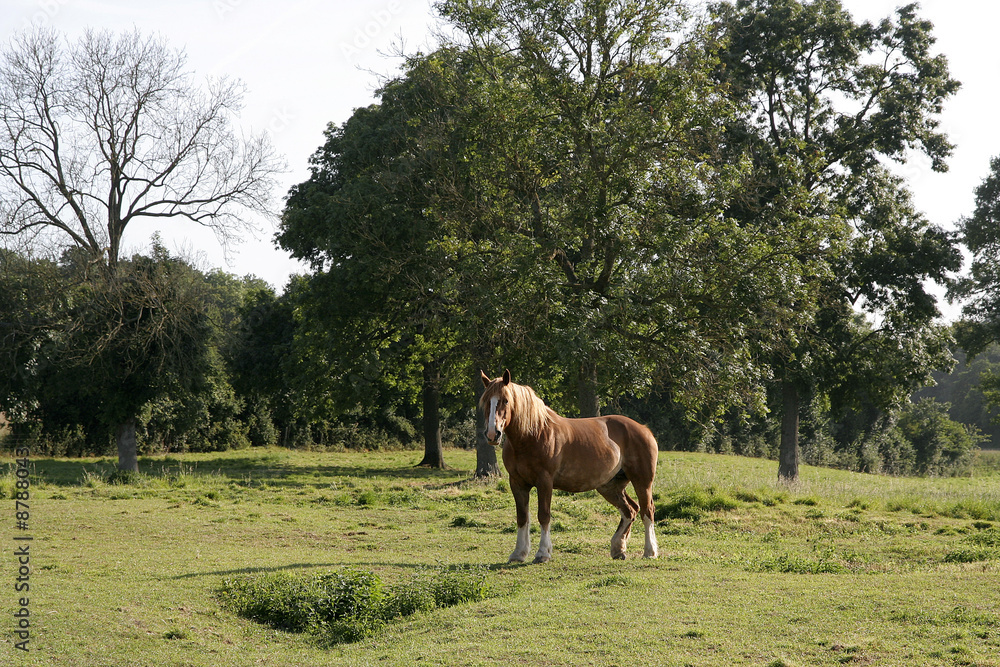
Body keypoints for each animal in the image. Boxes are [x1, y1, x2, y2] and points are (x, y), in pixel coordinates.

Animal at [479, 369, 659, 563]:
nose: (493, 434)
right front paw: (518, 553)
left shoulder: (544, 481)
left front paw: (542, 553)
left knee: (647, 511)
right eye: (486, 400)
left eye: (505, 400)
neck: (533, 434)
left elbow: (544, 515)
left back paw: (650, 551)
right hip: (610, 486)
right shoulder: (517, 483)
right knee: (630, 510)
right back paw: (618, 549)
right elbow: (522, 517)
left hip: (642, 481)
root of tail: (644, 429)